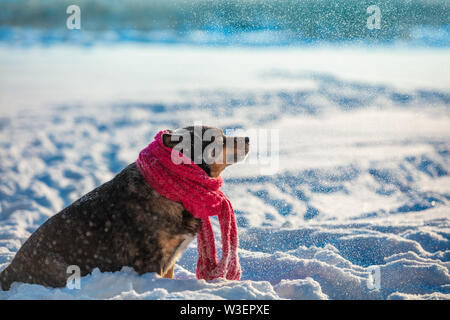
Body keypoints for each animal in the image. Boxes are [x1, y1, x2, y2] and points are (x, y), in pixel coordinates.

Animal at [0, 125, 250, 290]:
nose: (248, 138)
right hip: (60, 267)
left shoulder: (169, 261)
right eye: (218, 139)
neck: (173, 186)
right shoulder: (151, 263)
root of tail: (9, 269)